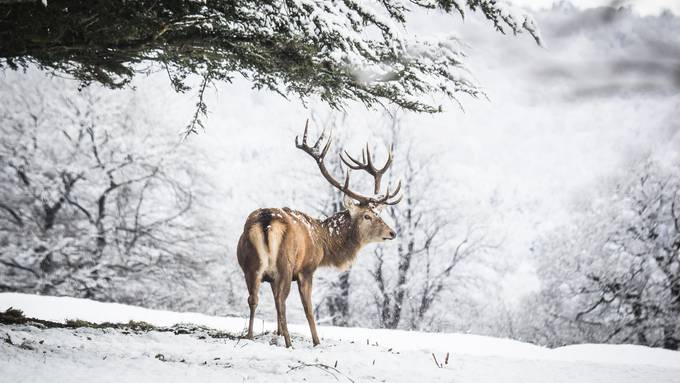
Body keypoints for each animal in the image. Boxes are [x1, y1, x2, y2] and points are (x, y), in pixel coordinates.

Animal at [236, 120, 402, 348]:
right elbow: (308, 308)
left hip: (249, 265)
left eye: (379, 213)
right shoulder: (307, 269)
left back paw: (250, 336)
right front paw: (316, 341)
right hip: (285, 264)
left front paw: (276, 334)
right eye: (367, 215)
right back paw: (289, 343)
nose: (392, 232)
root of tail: (267, 220)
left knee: (254, 298)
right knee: (281, 300)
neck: (323, 243)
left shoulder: (270, 277)